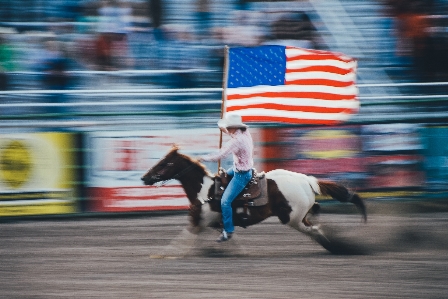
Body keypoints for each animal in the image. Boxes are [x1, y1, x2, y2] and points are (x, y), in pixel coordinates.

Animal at [141, 146, 368, 252]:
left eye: (165, 163)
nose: (145, 178)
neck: (205, 191)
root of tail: (307, 180)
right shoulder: (210, 223)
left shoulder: (199, 222)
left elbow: (182, 240)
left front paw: (164, 255)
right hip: (299, 215)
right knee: (316, 220)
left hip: (293, 218)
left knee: (314, 229)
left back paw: (336, 247)